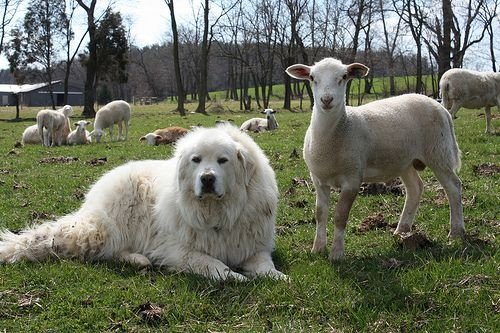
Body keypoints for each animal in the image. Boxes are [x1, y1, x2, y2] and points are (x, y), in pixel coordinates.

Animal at [0, 124, 288, 280]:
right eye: (196, 160)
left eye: (223, 160)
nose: (207, 179)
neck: (217, 211)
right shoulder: (176, 250)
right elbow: (213, 265)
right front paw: (234, 277)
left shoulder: (254, 247)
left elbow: (266, 267)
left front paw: (278, 277)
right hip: (111, 226)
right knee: (107, 252)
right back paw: (139, 260)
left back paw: (139, 259)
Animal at [286, 57, 464, 260]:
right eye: (312, 78)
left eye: (344, 77)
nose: (326, 100)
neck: (334, 135)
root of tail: (441, 108)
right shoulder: (318, 180)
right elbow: (320, 214)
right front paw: (317, 249)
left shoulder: (353, 178)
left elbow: (340, 215)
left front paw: (337, 253)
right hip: (405, 161)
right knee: (415, 188)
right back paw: (402, 230)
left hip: (438, 152)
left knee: (453, 187)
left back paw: (456, 232)